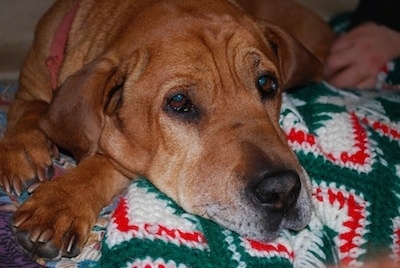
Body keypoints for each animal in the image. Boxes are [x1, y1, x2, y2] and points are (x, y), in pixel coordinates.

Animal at [0, 0, 332, 260]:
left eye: (266, 83)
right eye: (179, 102)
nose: (282, 190)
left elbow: (103, 161)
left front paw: (62, 200)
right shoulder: (27, 90)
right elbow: (31, 111)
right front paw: (22, 151)